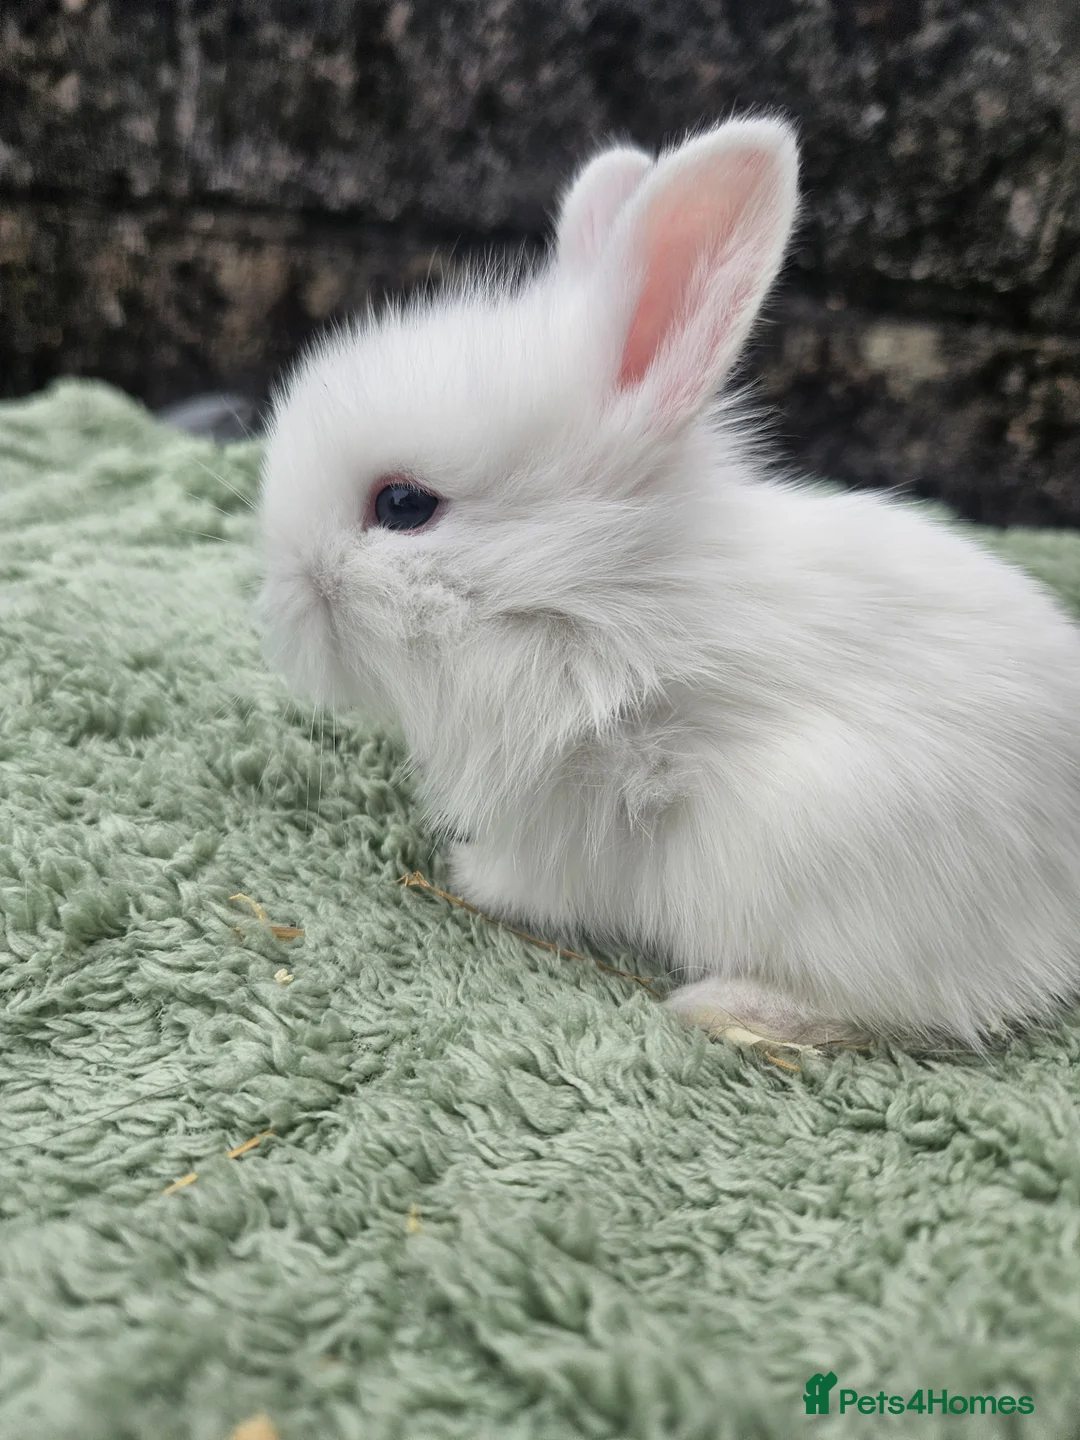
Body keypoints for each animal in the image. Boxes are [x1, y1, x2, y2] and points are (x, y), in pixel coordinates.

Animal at [257, 115, 1080, 1049]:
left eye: (402, 504)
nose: (279, 590)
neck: (590, 591)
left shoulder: (563, 798)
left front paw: (466, 872)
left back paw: (725, 1006)